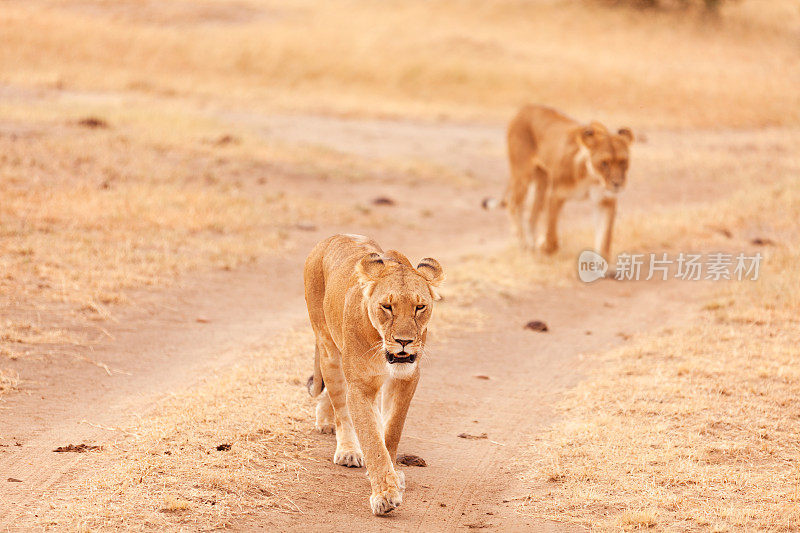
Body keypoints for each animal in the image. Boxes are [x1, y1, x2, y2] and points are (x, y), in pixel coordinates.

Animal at [304, 234, 444, 516]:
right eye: (387, 307)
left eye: (420, 307)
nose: (404, 341)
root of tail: (331, 237)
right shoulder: (360, 386)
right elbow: (370, 439)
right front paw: (385, 495)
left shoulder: (406, 379)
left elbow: (391, 430)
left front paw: (392, 477)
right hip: (328, 347)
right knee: (339, 404)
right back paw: (347, 450)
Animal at [484, 103, 636, 258]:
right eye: (604, 163)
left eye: (623, 161)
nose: (617, 184)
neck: (591, 177)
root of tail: (525, 107)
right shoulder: (556, 194)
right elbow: (551, 236)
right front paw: (544, 245)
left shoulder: (605, 201)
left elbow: (604, 241)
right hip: (523, 174)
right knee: (514, 204)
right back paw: (524, 243)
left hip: (542, 183)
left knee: (531, 215)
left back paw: (531, 244)